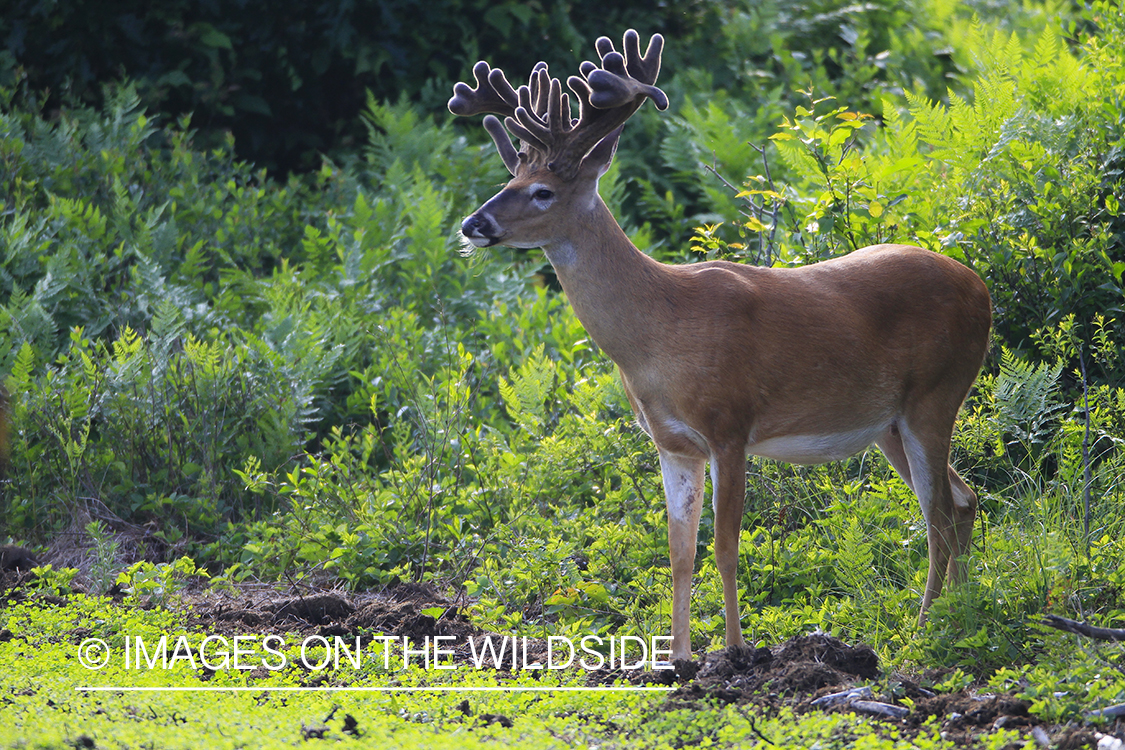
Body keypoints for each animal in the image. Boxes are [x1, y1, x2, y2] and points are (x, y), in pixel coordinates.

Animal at [447, 30, 994, 661]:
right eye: (505, 183)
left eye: (541, 191)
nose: (473, 224)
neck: (657, 334)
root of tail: (981, 289)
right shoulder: (673, 444)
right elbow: (680, 553)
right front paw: (678, 659)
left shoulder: (731, 424)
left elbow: (727, 548)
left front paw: (735, 650)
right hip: (888, 423)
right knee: (962, 499)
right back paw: (957, 613)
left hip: (936, 392)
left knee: (937, 514)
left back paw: (924, 628)